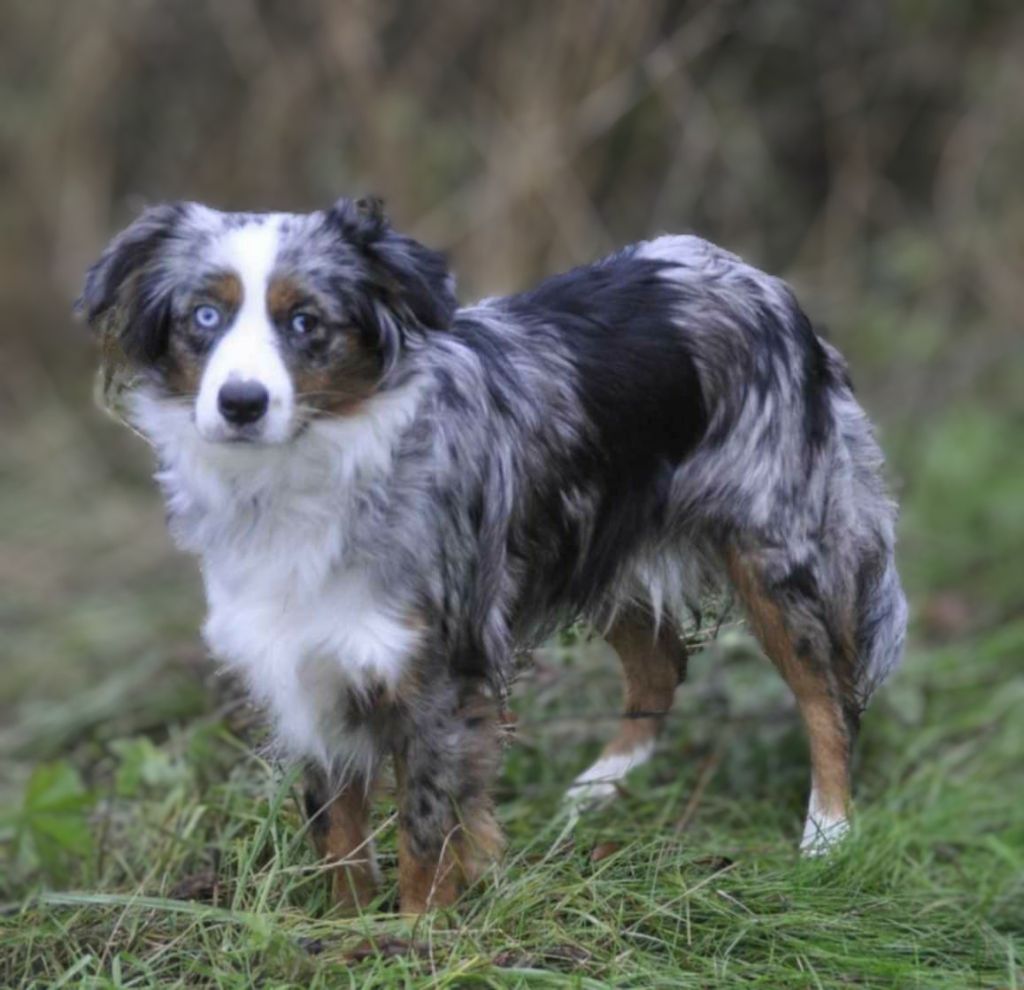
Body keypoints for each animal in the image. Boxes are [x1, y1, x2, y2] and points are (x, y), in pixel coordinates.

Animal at [83, 197, 909, 917]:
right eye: (205, 317)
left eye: (305, 321)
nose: (242, 403)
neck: (301, 479)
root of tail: (762, 282)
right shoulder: (305, 665)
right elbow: (338, 832)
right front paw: (345, 931)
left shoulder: (438, 675)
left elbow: (423, 827)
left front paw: (416, 935)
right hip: (590, 543)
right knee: (662, 665)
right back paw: (594, 794)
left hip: (772, 556)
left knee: (829, 698)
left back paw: (827, 835)